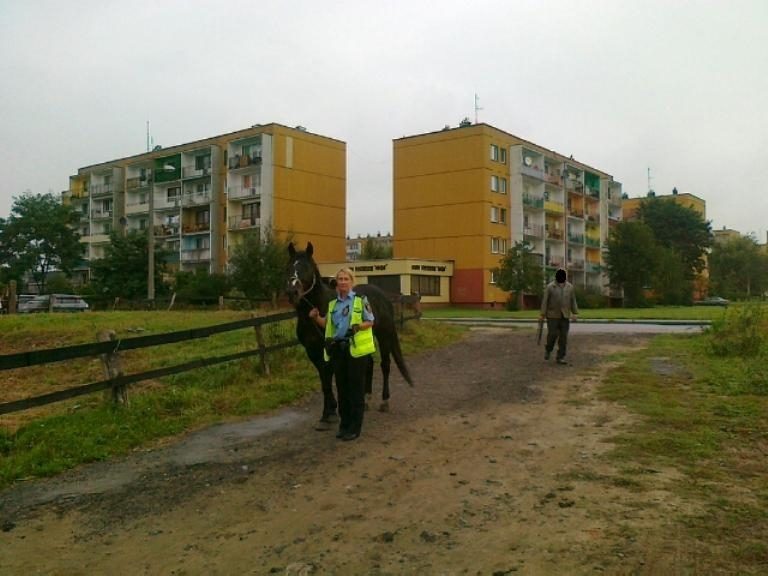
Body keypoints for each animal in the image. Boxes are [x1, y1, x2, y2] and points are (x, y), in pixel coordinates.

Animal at [284, 240, 414, 424]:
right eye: (288, 267)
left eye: (306, 267)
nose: (292, 292)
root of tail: (383, 296)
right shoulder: (312, 352)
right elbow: (324, 381)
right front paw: (328, 412)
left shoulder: (327, 349)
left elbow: (328, 377)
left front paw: (330, 412)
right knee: (369, 364)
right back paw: (366, 400)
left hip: (384, 335)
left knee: (385, 365)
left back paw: (384, 402)